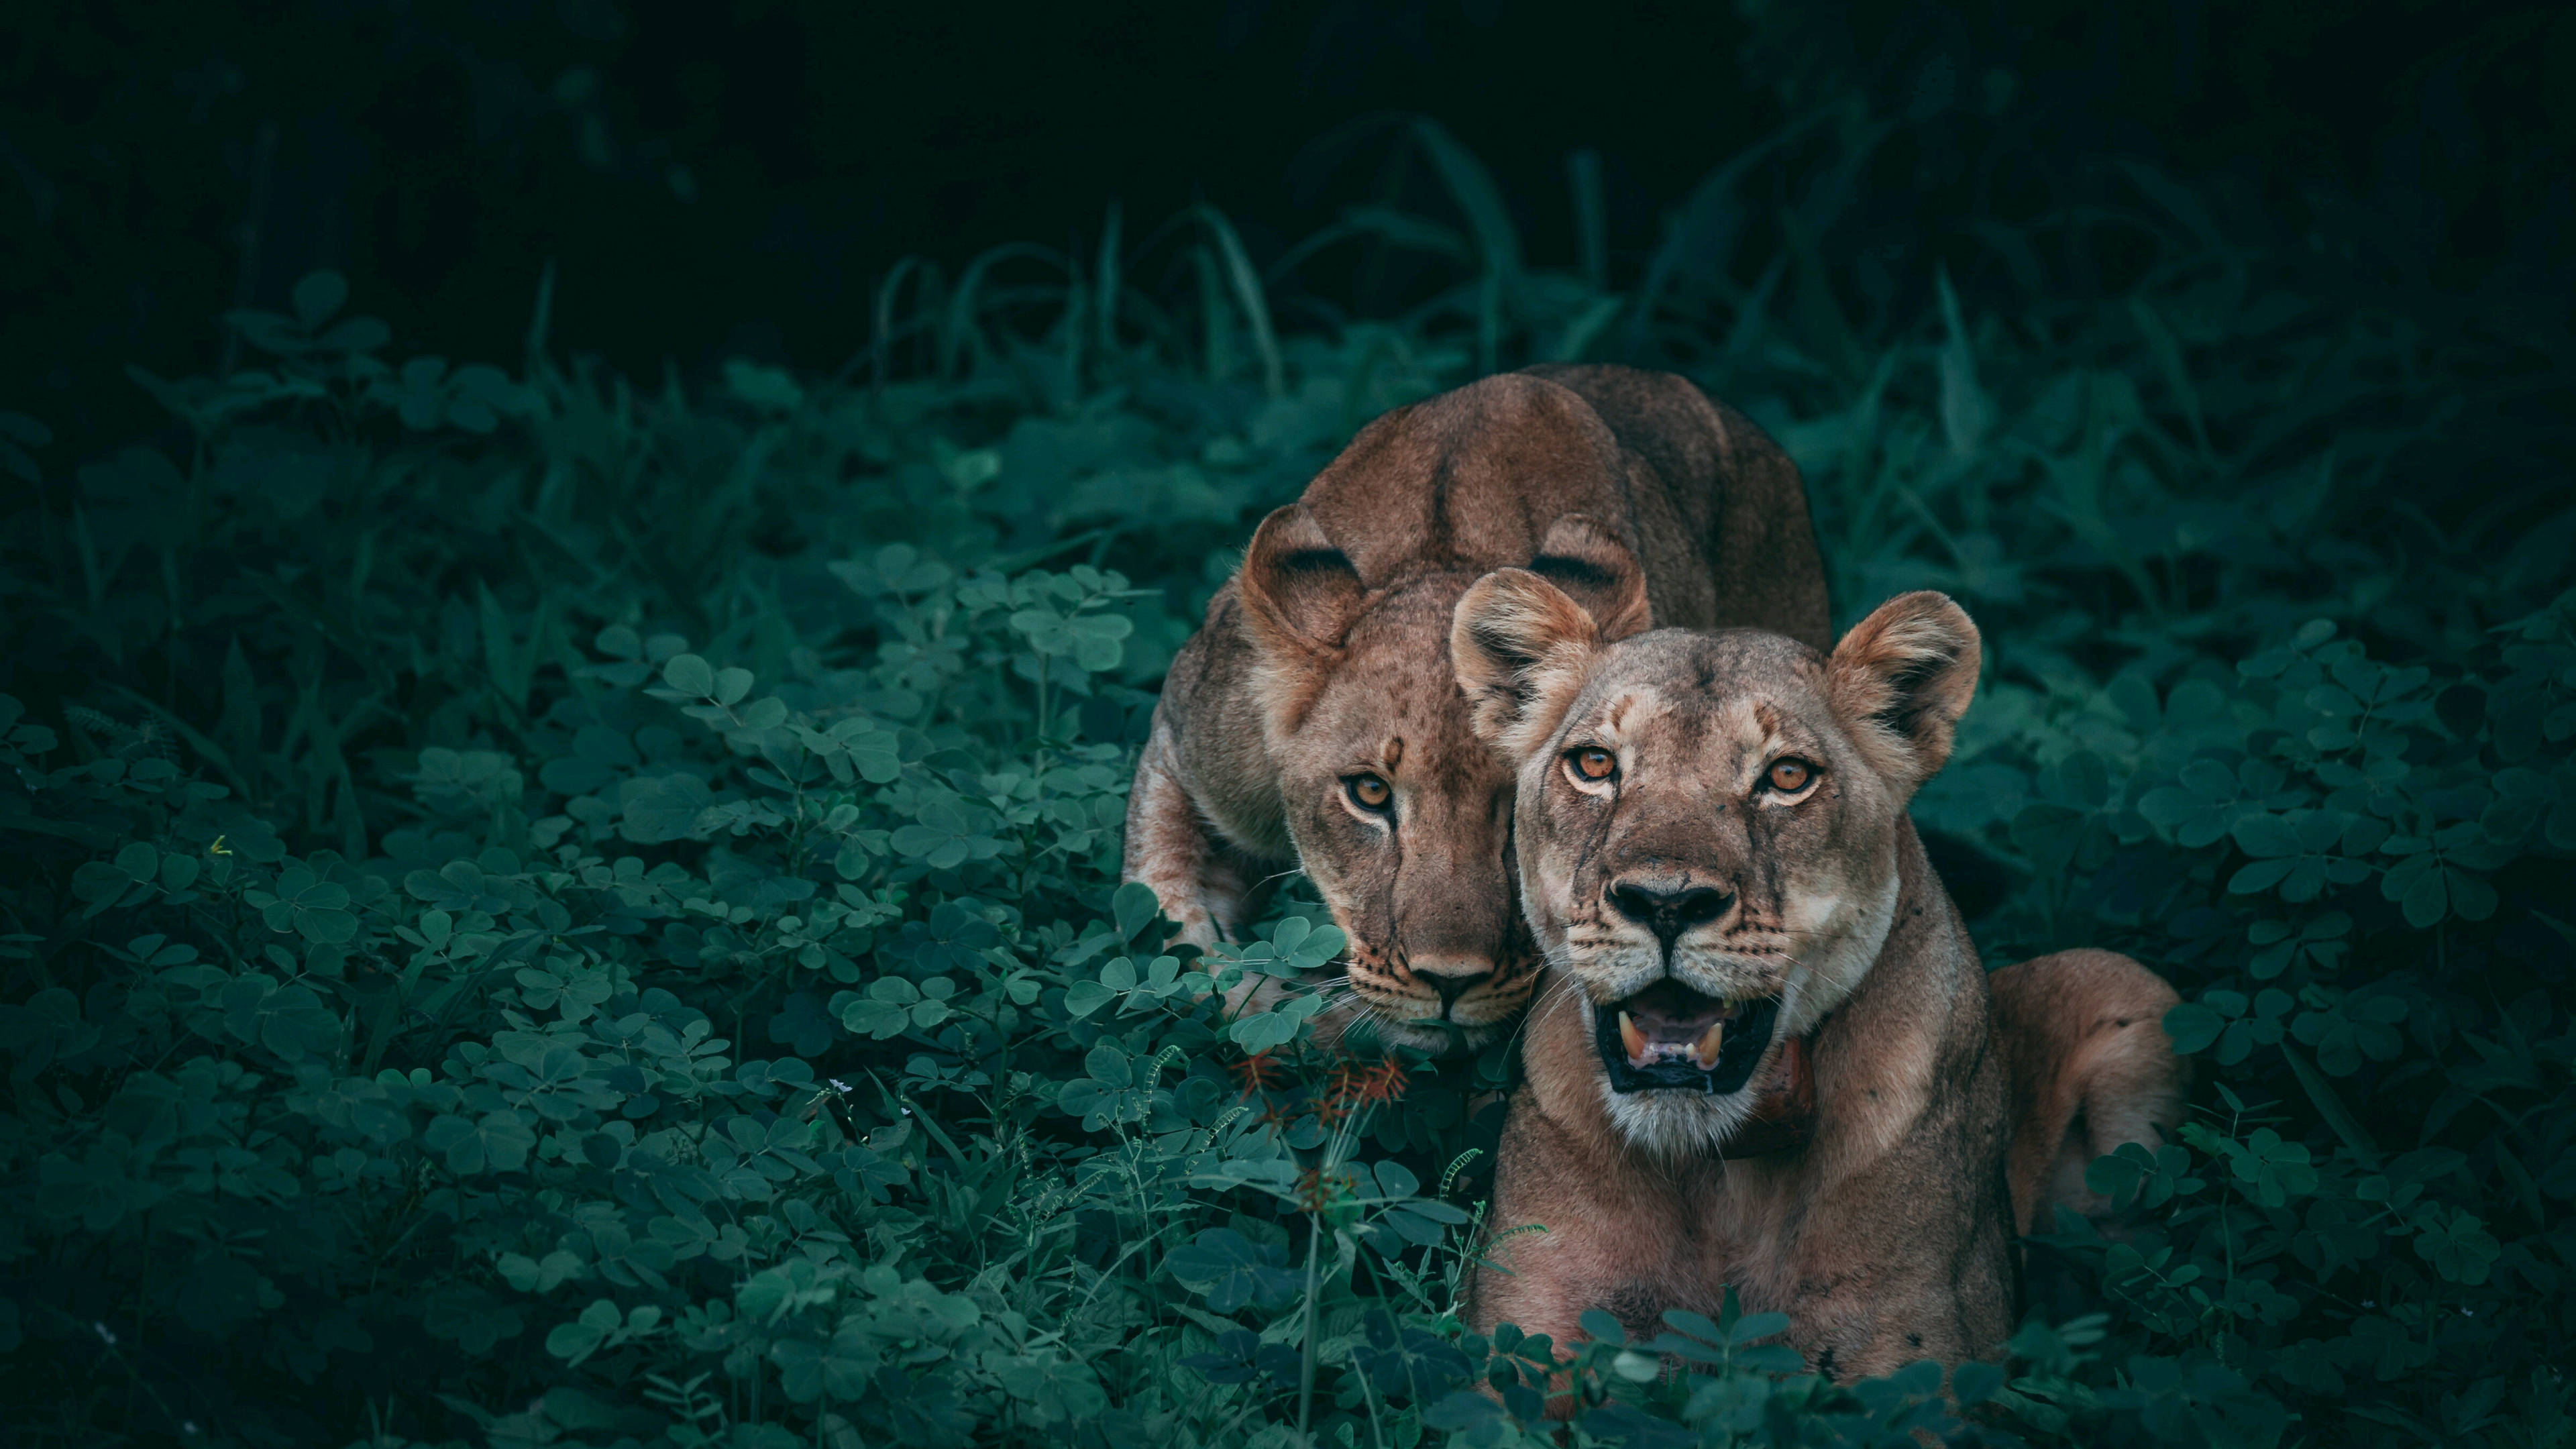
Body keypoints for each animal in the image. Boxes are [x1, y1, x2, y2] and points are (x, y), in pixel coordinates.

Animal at [1447, 572, 2186, 1391]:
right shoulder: (1521, 1337)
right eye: (1596, 765)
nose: (1665, 903)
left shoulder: (1920, 1364)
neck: (1718, 1176)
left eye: (1788, 777)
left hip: (2125, 984)